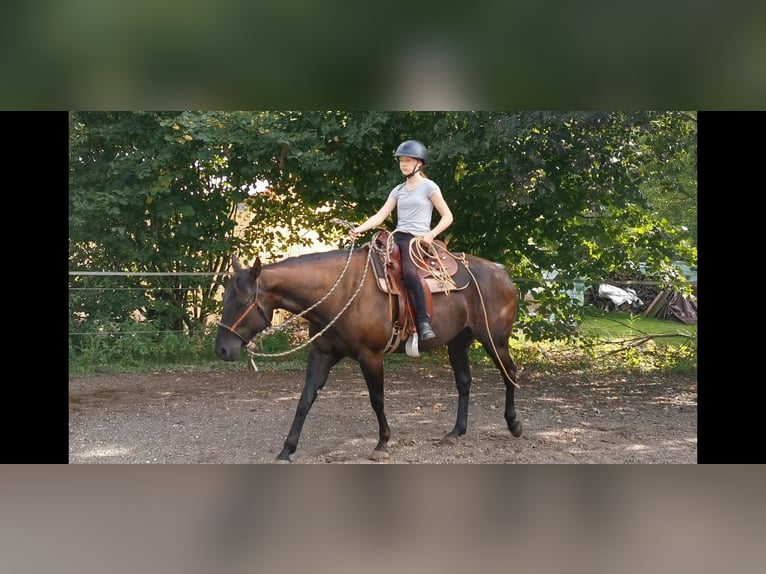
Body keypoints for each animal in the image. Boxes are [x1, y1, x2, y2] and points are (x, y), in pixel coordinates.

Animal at [216, 238, 528, 464]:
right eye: (225, 299)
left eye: (242, 303)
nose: (222, 349)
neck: (340, 291)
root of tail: (501, 272)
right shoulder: (322, 354)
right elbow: (305, 400)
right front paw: (287, 449)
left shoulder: (371, 356)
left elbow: (377, 399)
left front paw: (382, 443)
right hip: (458, 342)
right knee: (464, 381)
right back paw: (456, 432)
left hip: (495, 341)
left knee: (510, 374)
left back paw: (514, 424)